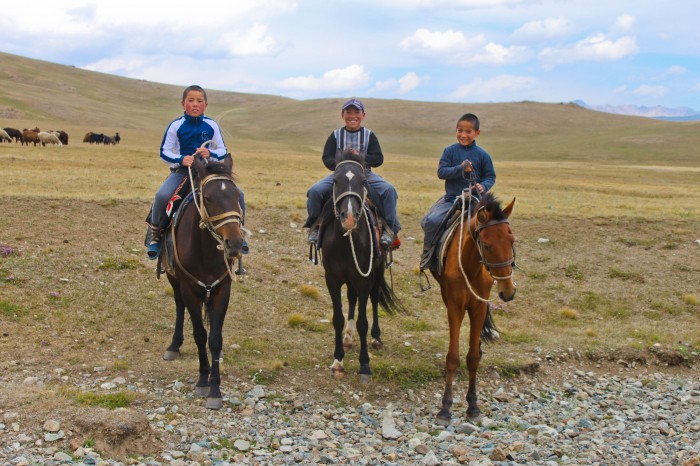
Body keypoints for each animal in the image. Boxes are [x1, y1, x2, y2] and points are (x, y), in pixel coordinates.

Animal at [161, 155, 243, 410]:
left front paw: (215, 389)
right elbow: (200, 334)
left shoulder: (222, 290)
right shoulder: (189, 289)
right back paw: (174, 346)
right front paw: (203, 379)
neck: (205, 251)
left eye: (237, 196)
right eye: (208, 198)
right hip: (174, 279)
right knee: (179, 306)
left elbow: (215, 339)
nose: (235, 244)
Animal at [318, 148, 402, 382]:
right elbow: (337, 318)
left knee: (373, 299)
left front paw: (364, 364)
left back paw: (376, 338)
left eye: (363, 181)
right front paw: (338, 360)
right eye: (335, 180)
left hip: (377, 270)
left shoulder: (363, 279)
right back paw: (348, 338)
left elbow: (363, 322)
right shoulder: (333, 279)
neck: (346, 242)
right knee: (352, 298)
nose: (348, 218)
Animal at [430, 191, 516, 424]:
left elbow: (473, 358)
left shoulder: (478, 308)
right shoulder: (455, 307)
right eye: (486, 245)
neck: (471, 268)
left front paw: (473, 406)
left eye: (512, 240)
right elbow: (452, 358)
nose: (508, 291)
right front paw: (445, 408)